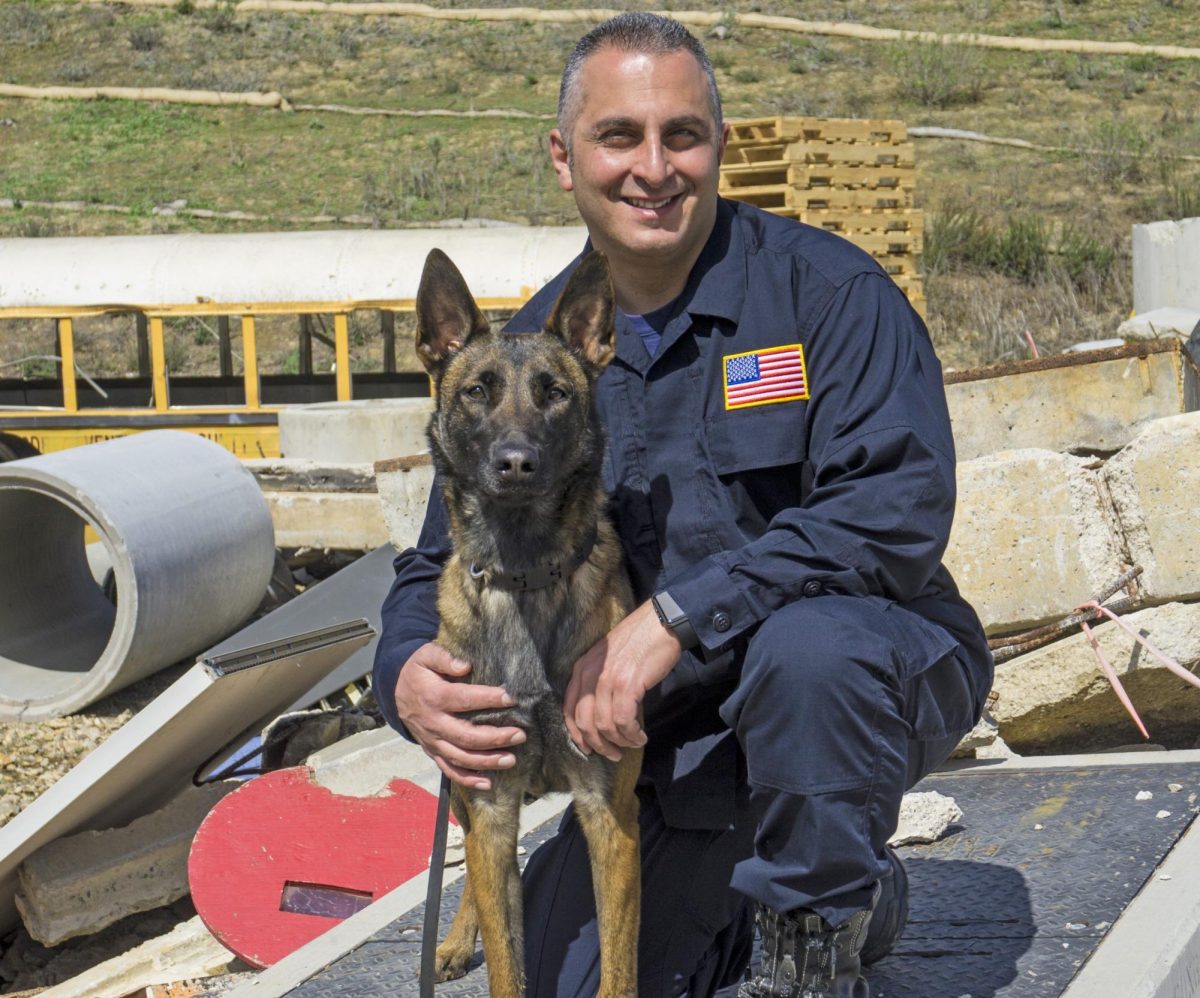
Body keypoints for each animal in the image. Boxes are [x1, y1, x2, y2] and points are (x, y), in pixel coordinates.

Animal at [415, 245, 643, 993]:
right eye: (475, 392)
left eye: (555, 393)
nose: (516, 463)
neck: (524, 573)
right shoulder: (490, 804)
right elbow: (507, 961)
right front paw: (476, 941)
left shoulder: (609, 809)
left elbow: (619, 965)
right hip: (464, 785)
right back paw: (455, 939)